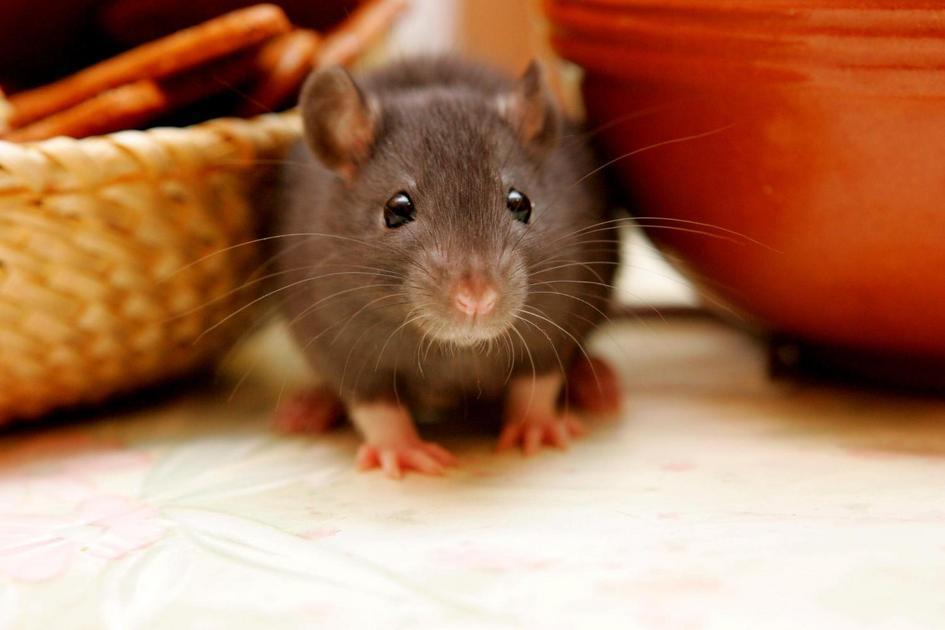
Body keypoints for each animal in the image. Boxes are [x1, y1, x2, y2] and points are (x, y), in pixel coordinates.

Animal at [272, 56, 620, 477]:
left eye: (520, 203)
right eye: (396, 209)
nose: (476, 299)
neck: (455, 347)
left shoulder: (556, 323)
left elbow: (537, 381)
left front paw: (537, 426)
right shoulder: (340, 341)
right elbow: (375, 405)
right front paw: (402, 449)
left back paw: (594, 381)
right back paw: (308, 406)